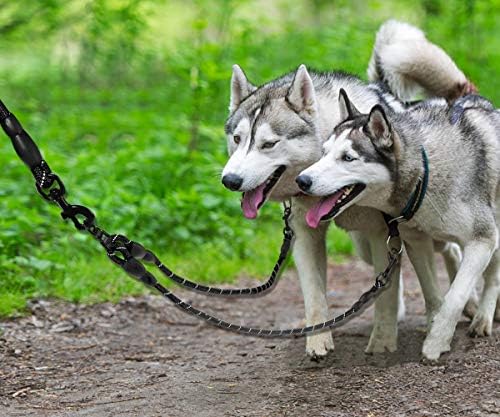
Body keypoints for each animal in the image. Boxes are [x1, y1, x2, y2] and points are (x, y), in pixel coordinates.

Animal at [222, 19, 472, 358]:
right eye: (237, 139)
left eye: (268, 144)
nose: (230, 180)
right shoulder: (305, 233)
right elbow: (316, 295)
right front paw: (318, 340)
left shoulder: (381, 233)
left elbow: (385, 296)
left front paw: (382, 341)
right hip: (366, 245)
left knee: (449, 250)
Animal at [298, 92, 498, 360]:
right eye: (323, 152)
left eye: (348, 158)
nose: (301, 180)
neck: (426, 171)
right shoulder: (416, 241)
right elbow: (431, 290)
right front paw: (434, 324)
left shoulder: (483, 239)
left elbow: (455, 295)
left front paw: (436, 343)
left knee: (492, 275)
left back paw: (484, 318)